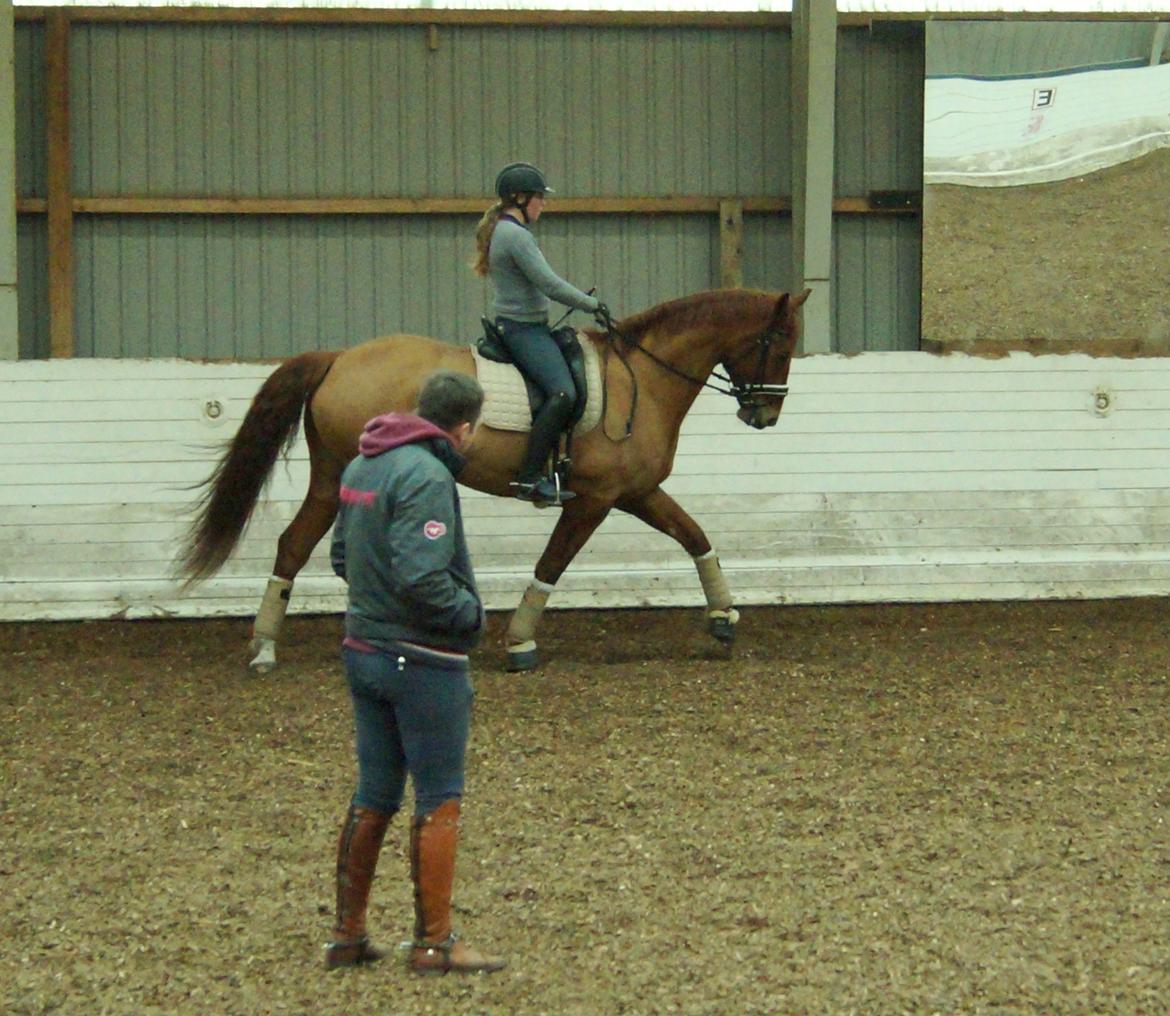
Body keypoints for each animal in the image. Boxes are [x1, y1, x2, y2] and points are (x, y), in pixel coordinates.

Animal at [177, 285, 809, 669]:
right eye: (779, 342)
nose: (766, 415)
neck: (643, 381)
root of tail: (338, 358)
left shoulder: (636, 492)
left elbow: (695, 536)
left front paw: (724, 617)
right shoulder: (595, 498)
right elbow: (553, 564)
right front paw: (521, 639)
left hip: (335, 476)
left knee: (296, 542)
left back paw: (270, 644)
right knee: (310, 545)